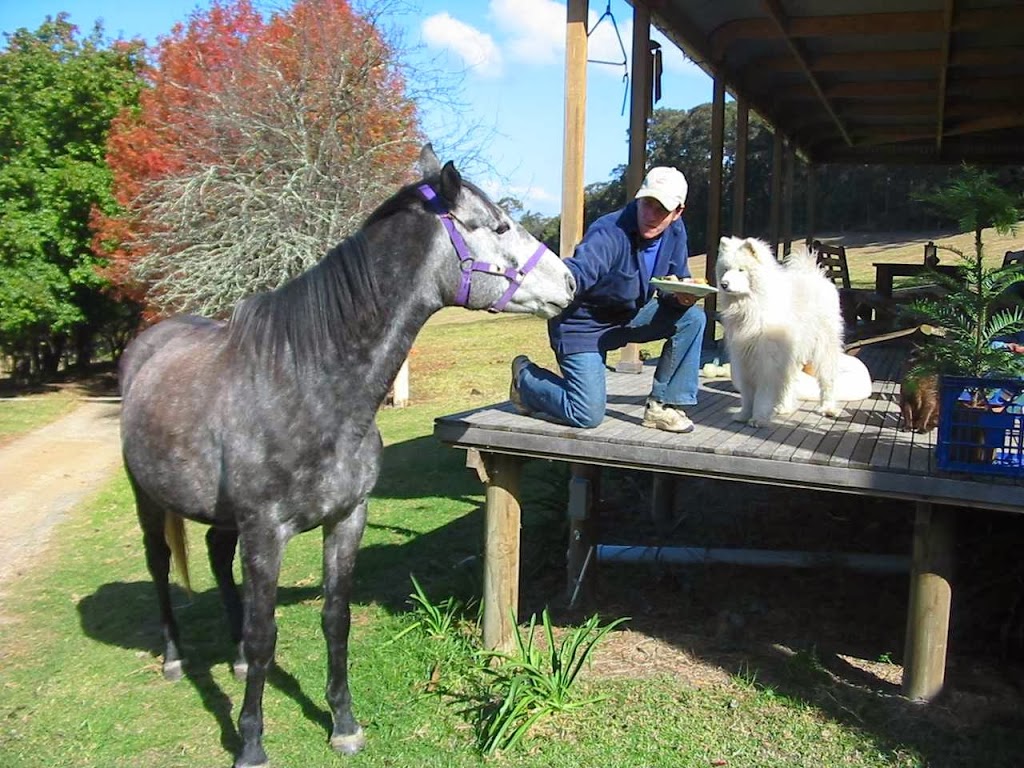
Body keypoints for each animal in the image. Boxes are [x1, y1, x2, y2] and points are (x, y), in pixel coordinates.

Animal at [119, 145, 577, 768]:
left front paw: (343, 724)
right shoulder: (265, 533)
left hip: (222, 516)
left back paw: (231, 658)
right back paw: (173, 658)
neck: (308, 383)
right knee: (161, 566)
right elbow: (266, 635)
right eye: (500, 225)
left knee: (214, 554)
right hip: (148, 499)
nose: (571, 281)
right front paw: (251, 743)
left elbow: (335, 621)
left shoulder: (347, 519)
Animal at [716, 237, 843, 430]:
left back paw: (827, 408)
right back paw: (783, 407)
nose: (724, 284)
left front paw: (759, 418)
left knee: (826, 379)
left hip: (823, 346)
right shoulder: (743, 358)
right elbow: (747, 392)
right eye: (725, 269)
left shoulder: (765, 360)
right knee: (788, 381)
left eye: (741, 270)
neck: (751, 306)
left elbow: (762, 393)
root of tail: (815, 274)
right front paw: (744, 415)